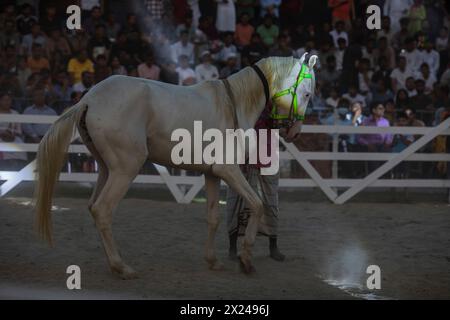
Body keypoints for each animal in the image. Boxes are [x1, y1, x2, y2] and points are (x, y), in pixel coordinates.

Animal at [34, 53, 316, 278]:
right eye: (306, 93)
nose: (295, 131)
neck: (233, 103)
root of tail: (89, 99)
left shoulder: (212, 174)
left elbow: (213, 217)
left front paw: (213, 261)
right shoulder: (229, 171)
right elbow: (256, 205)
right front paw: (246, 260)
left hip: (105, 168)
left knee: (93, 207)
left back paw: (113, 263)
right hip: (126, 168)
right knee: (103, 210)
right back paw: (121, 267)